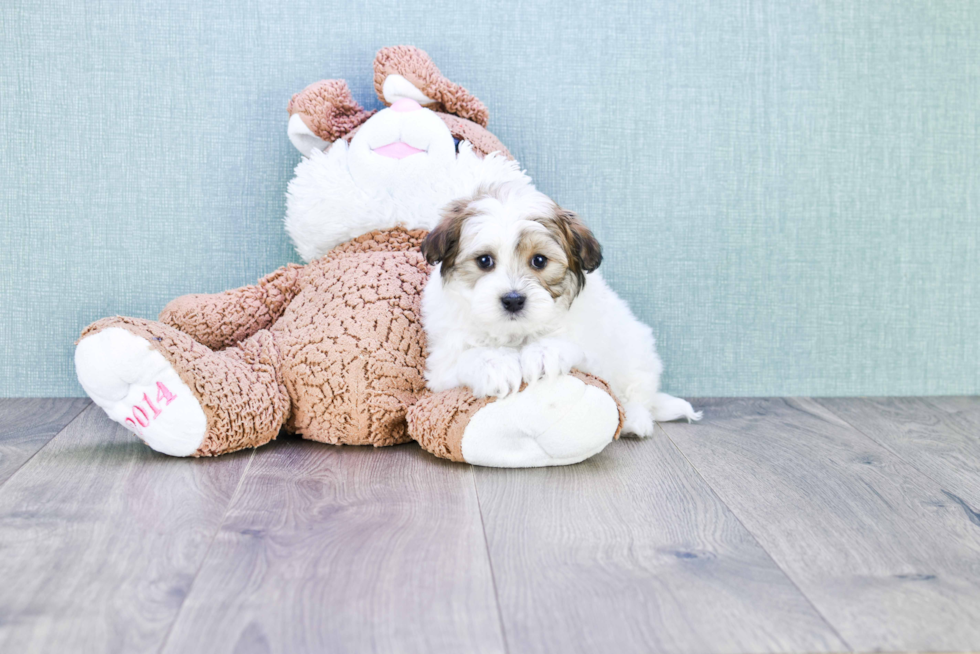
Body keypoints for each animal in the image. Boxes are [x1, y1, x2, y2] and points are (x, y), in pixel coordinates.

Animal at [418, 179, 700, 438]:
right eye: (484, 261)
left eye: (539, 261)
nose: (513, 300)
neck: (515, 333)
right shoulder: (441, 366)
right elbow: (465, 357)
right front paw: (495, 365)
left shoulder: (595, 351)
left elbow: (572, 346)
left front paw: (543, 353)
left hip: (635, 349)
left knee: (638, 391)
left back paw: (635, 419)